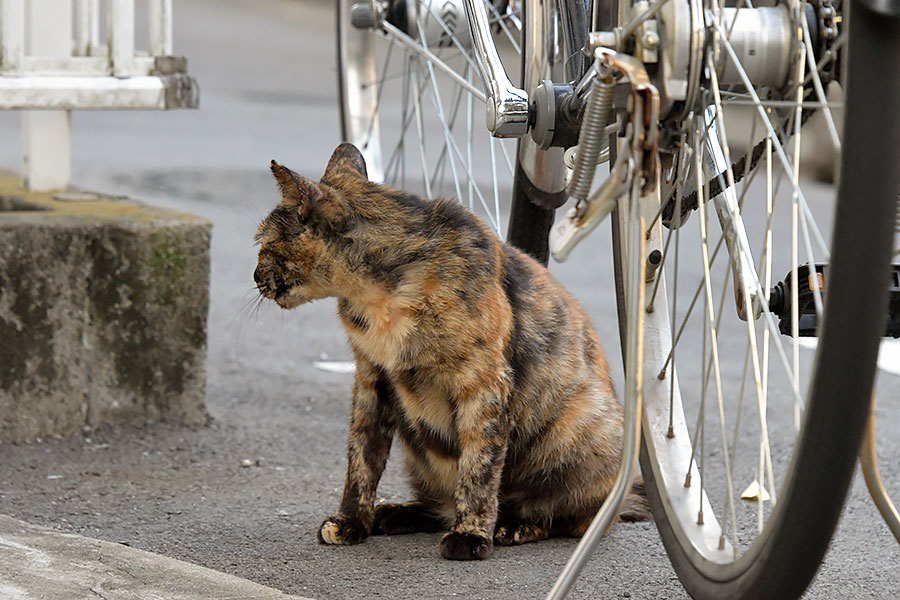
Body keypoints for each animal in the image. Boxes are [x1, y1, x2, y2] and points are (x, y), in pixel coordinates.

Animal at [253, 143, 648, 560]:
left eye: (263, 243)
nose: (254, 276)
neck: (381, 299)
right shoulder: (371, 379)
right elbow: (361, 456)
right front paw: (350, 521)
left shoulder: (484, 383)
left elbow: (479, 466)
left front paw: (471, 535)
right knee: (438, 503)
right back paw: (394, 514)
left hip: (585, 424)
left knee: (566, 517)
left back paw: (512, 526)